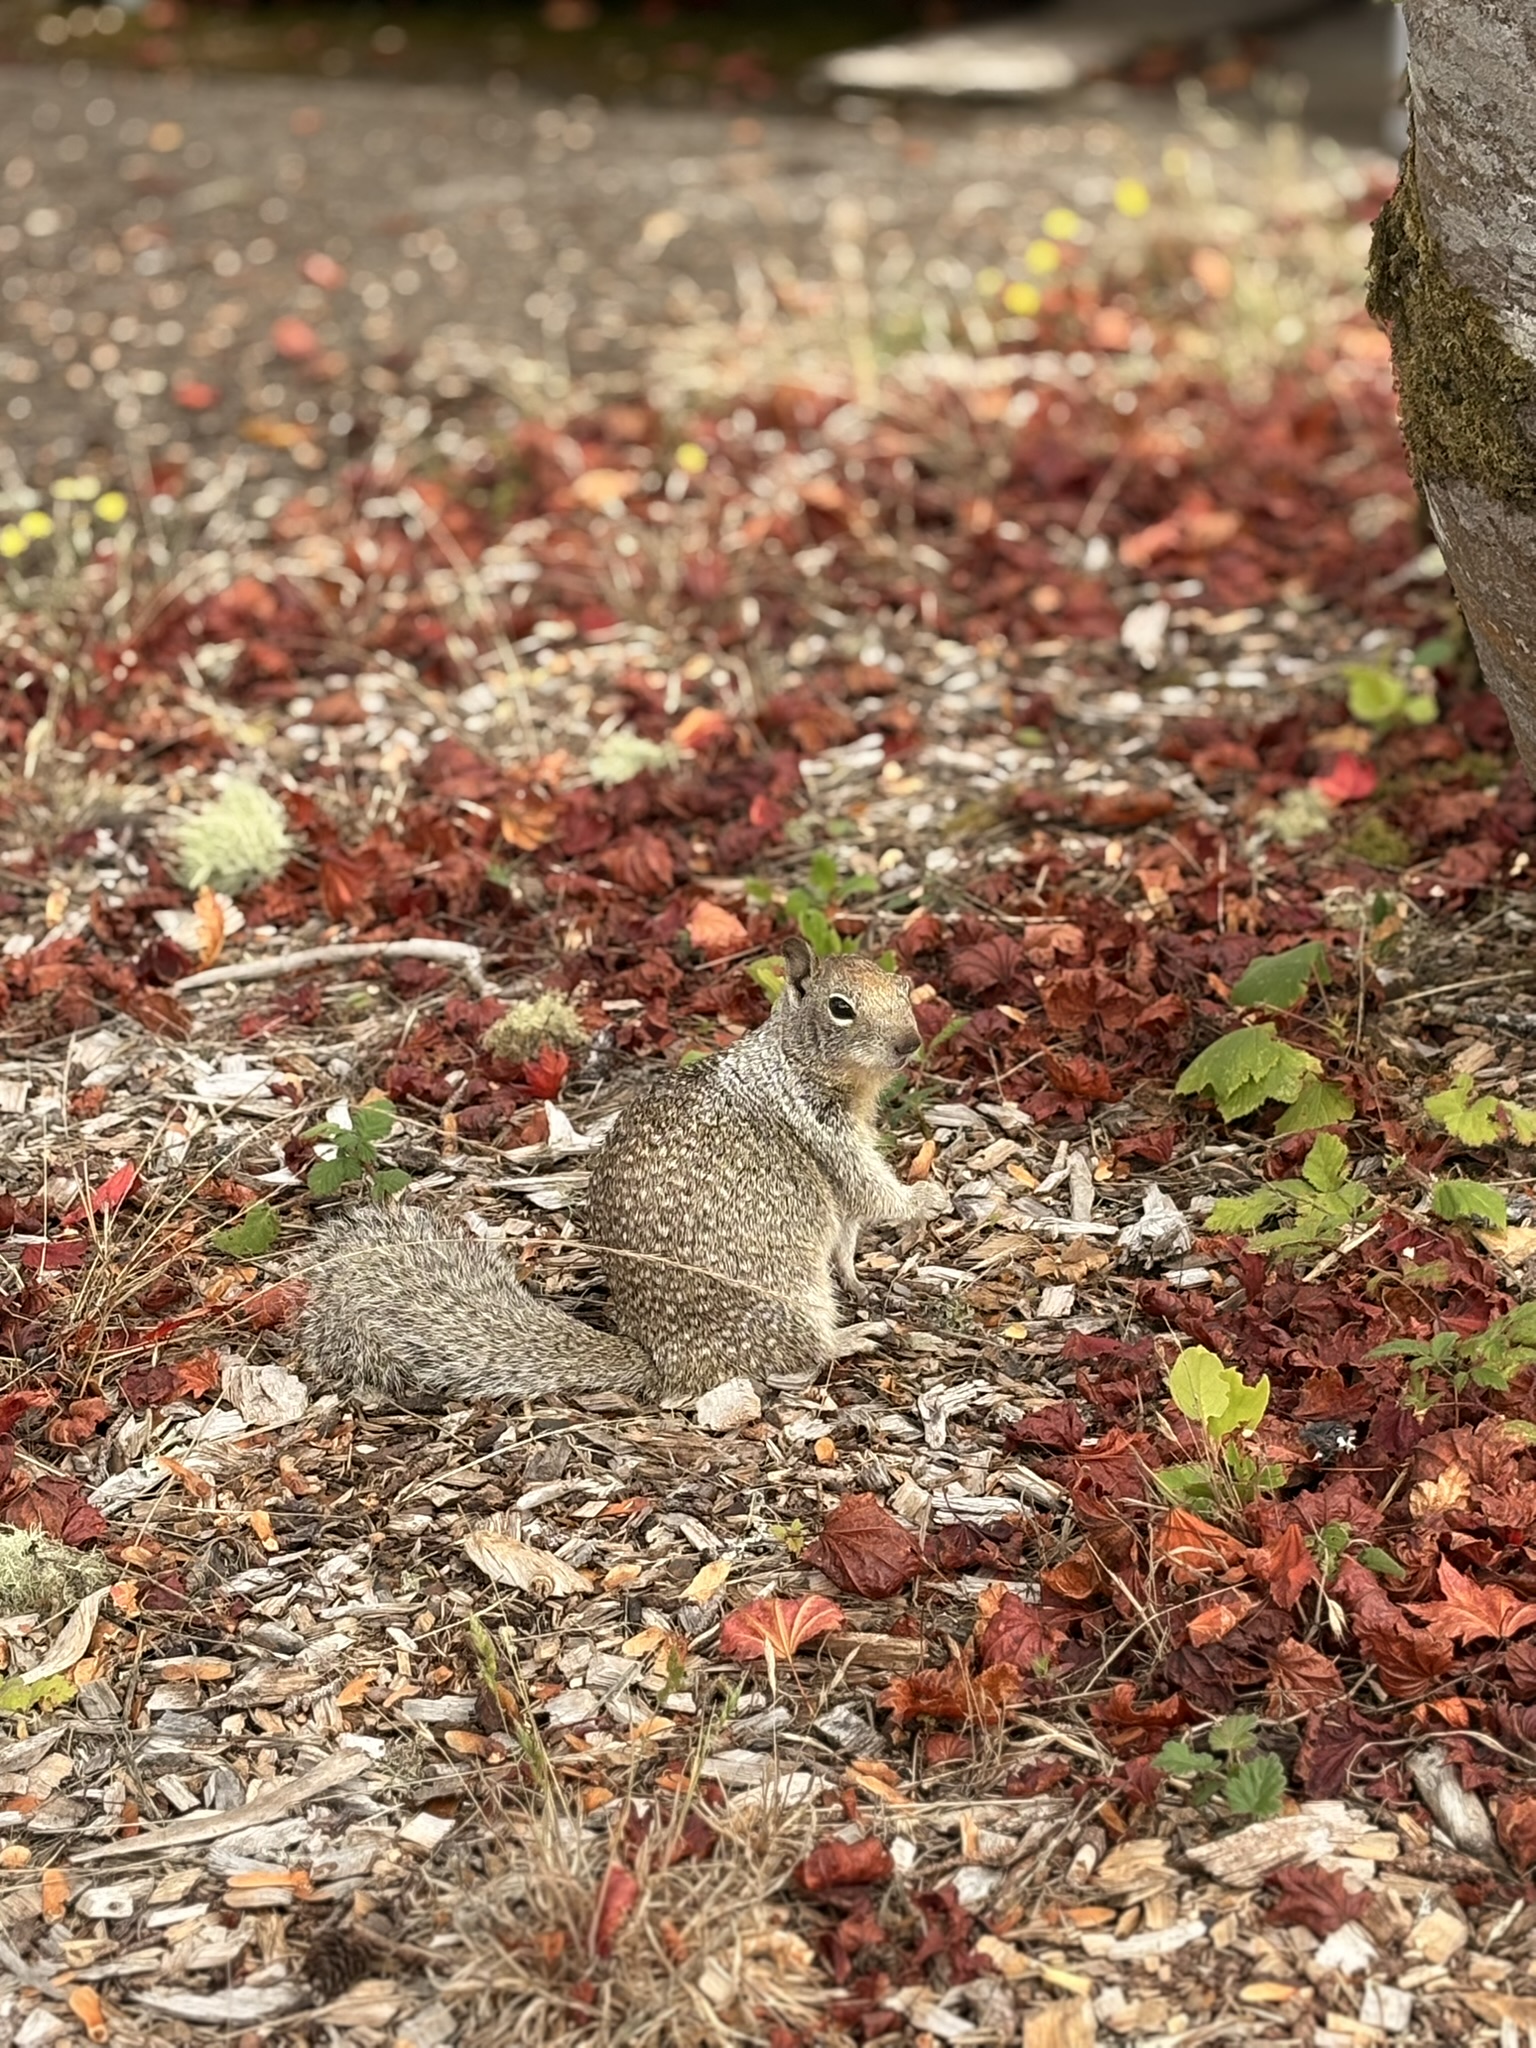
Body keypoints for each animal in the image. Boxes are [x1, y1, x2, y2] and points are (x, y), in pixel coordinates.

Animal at [298, 937, 949, 1409]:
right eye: (840, 1008)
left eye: (903, 987)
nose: (909, 1043)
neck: (795, 1060)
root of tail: (662, 1358)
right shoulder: (825, 1132)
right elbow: (873, 1190)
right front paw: (925, 1199)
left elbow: (849, 1229)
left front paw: (858, 1276)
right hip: (787, 1295)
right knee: (802, 1351)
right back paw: (849, 1337)